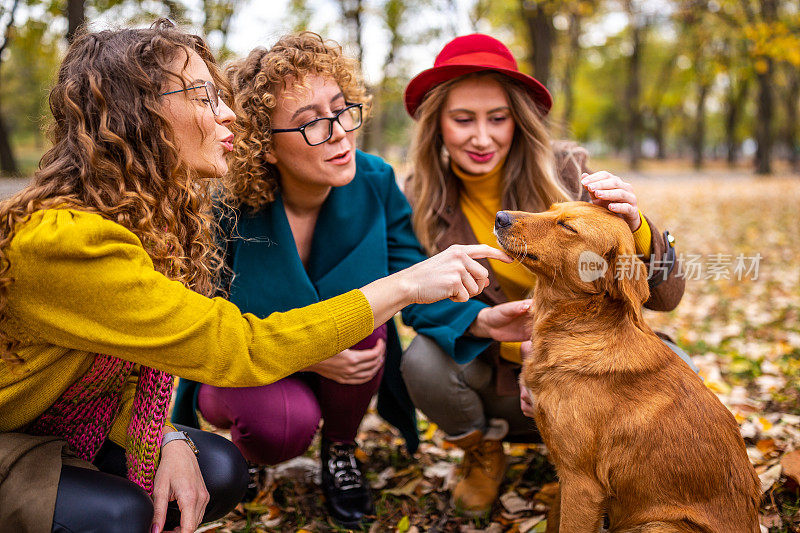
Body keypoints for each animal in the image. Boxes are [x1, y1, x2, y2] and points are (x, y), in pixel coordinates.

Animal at [494, 202, 764, 528]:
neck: (582, 325)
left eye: (568, 227)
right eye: (551, 209)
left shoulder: (581, 483)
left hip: (657, 526)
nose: (500, 217)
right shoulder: (565, 474)